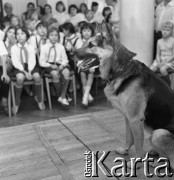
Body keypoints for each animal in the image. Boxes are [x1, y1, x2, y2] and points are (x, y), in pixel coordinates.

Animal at [74, 21, 174, 169]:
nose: (71, 53)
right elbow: (129, 137)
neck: (120, 70)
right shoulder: (128, 117)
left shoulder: (135, 120)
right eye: (85, 42)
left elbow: (138, 144)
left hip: (158, 133)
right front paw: (125, 150)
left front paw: (137, 161)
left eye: (91, 45)